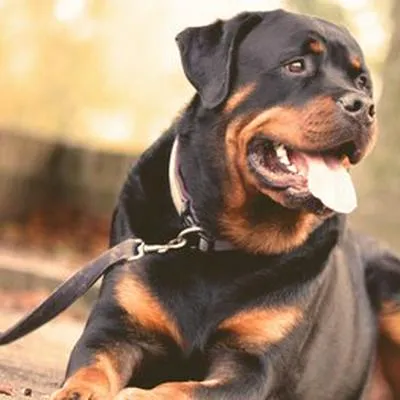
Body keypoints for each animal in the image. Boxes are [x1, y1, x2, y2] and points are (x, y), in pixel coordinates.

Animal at [51, 9, 400, 400]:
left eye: (362, 82)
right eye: (296, 65)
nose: (364, 106)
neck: (219, 241)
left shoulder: (254, 366)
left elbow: (184, 389)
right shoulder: (116, 326)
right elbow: (92, 367)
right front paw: (77, 392)